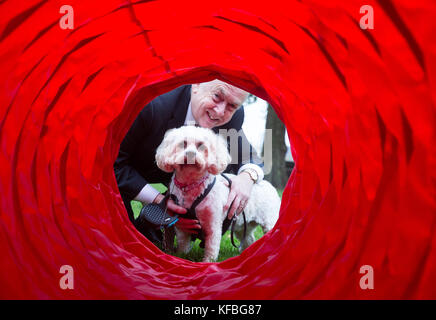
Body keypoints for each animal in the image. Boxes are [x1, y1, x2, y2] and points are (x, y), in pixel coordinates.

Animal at [155, 125, 282, 262]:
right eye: (182, 144)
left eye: (201, 145)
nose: (190, 154)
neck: (190, 186)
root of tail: (268, 185)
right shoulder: (182, 227)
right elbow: (183, 246)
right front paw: (180, 257)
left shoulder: (213, 225)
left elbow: (211, 250)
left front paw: (207, 263)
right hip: (243, 227)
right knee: (249, 240)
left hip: (269, 222)